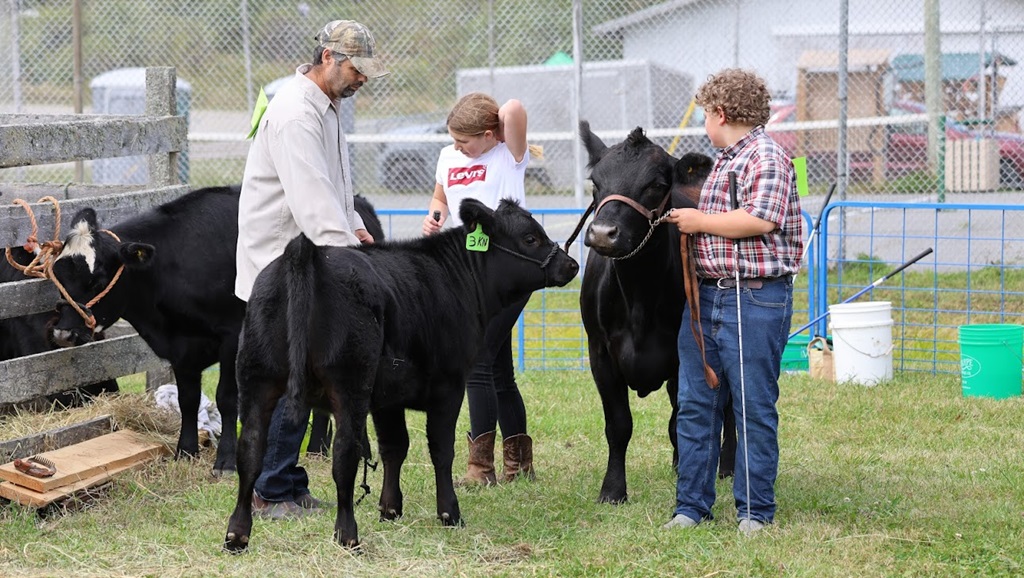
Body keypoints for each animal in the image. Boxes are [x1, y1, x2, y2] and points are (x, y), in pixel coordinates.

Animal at [42, 186, 385, 474]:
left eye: (97, 278)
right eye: (57, 273)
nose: (63, 334)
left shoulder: (233, 335)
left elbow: (227, 398)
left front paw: (226, 461)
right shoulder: (181, 347)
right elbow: (188, 399)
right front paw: (185, 451)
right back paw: (318, 449)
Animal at [224, 198, 579, 552]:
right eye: (530, 238)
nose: (571, 264)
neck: (456, 277)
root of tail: (308, 252)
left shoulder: (387, 398)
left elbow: (394, 447)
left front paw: (390, 508)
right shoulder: (449, 386)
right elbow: (441, 449)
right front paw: (449, 513)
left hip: (257, 377)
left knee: (251, 448)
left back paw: (237, 534)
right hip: (349, 385)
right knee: (344, 453)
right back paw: (347, 534)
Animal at [578, 122, 736, 505]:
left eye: (655, 185)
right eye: (596, 184)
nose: (602, 234)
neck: (639, 295)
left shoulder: (685, 355)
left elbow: (681, 421)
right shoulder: (600, 353)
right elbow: (619, 425)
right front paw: (613, 490)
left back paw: (725, 467)